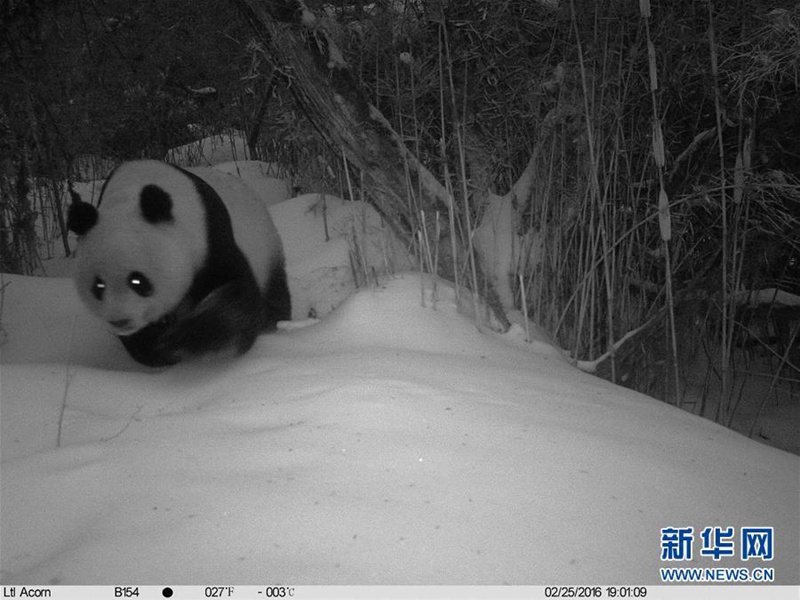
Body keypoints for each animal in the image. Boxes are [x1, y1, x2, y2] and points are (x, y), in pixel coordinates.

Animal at [66, 159, 290, 366]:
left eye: (137, 281)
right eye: (98, 286)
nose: (120, 320)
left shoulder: (210, 236)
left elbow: (235, 294)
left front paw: (184, 340)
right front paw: (157, 347)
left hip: (265, 247)